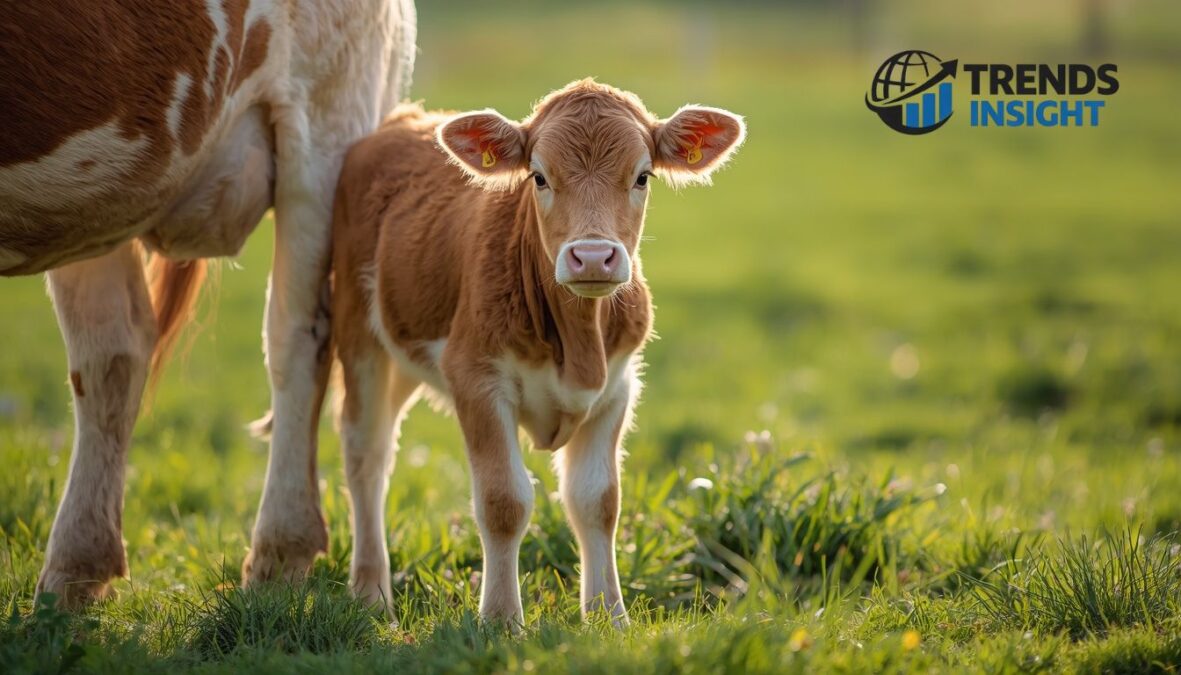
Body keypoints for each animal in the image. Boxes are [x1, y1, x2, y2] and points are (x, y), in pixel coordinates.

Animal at [0, 1, 417, 607]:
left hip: (325, 120)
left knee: (298, 337)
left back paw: (277, 558)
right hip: (90, 207)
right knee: (113, 354)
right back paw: (69, 582)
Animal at [328, 79, 745, 624]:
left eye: (642, 176)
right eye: (540, 177)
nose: (593, 256)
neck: (577, 341)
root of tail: (404, 120)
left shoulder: (616, 388)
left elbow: (598, 501)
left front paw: (609, 616)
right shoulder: (475, 377)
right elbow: (504, 502)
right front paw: (502, 619)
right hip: (360, 337)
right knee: (366, 454)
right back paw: (371, 593)